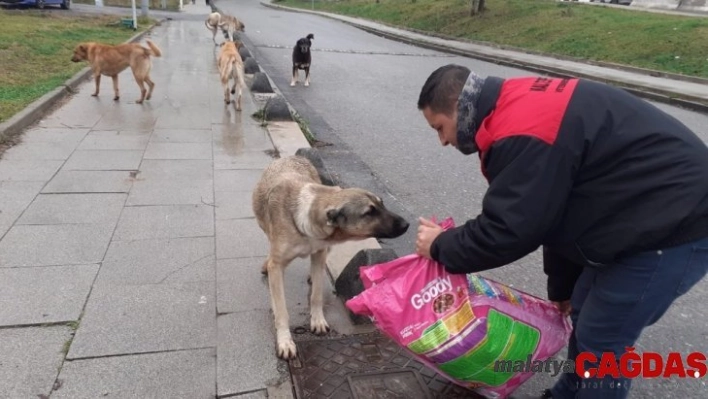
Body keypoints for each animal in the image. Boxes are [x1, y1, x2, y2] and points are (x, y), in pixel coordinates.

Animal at [253, 156, 410, 360]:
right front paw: (285, 340)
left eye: (382, 204)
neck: (303, 220)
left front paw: (317, 319)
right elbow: (281, 310)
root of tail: (293, 157)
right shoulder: (278, 265)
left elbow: (316, 294)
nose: (407, 224)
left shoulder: (319, 253)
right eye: (369, 212)